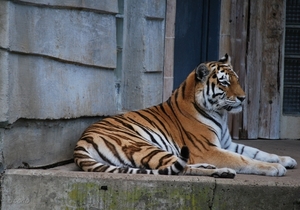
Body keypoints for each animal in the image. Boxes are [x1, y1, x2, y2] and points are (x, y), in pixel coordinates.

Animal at [74, 54, 296, 177]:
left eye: (237, 80)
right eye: (225, 83)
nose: (243, 98)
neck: (221, 115)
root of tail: (82, 141)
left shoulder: (226, 144)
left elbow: (257, 151)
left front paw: (286, 159)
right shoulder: (208, 149)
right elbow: (244, 159)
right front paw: (275, 168)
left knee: (180, 164)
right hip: (144, 146)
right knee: (179, 168)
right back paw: (222, 171)